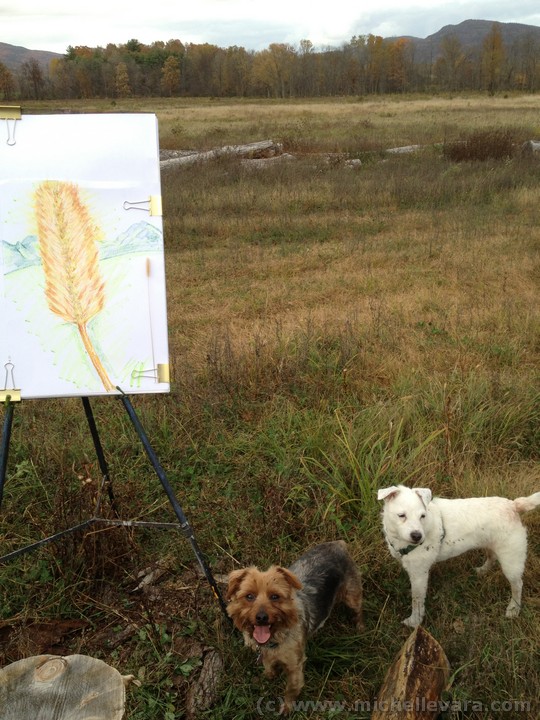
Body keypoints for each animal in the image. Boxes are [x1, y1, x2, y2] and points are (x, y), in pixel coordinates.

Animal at [224, 540, 362, 708]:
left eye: (275, 596)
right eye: (249, 596)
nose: (261, 617)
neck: (275, 639)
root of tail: (338, 544)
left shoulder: (294, 664)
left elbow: (291, 688)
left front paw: (287, 708)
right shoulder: (266, 653)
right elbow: (268, 665)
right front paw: (269, 675)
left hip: (352, 592)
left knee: (358, 609)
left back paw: (360, 628)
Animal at [378, 484, 536, 632]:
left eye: (422, 516)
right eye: (401, 515)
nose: (417, 536)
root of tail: (514, 505)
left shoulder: (419, 574)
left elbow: (417, 601)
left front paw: (414, 622)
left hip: (511, 563)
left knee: (517, 585)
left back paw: (514, 608)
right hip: (491, 544)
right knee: (491, 557)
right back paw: (482, 570)